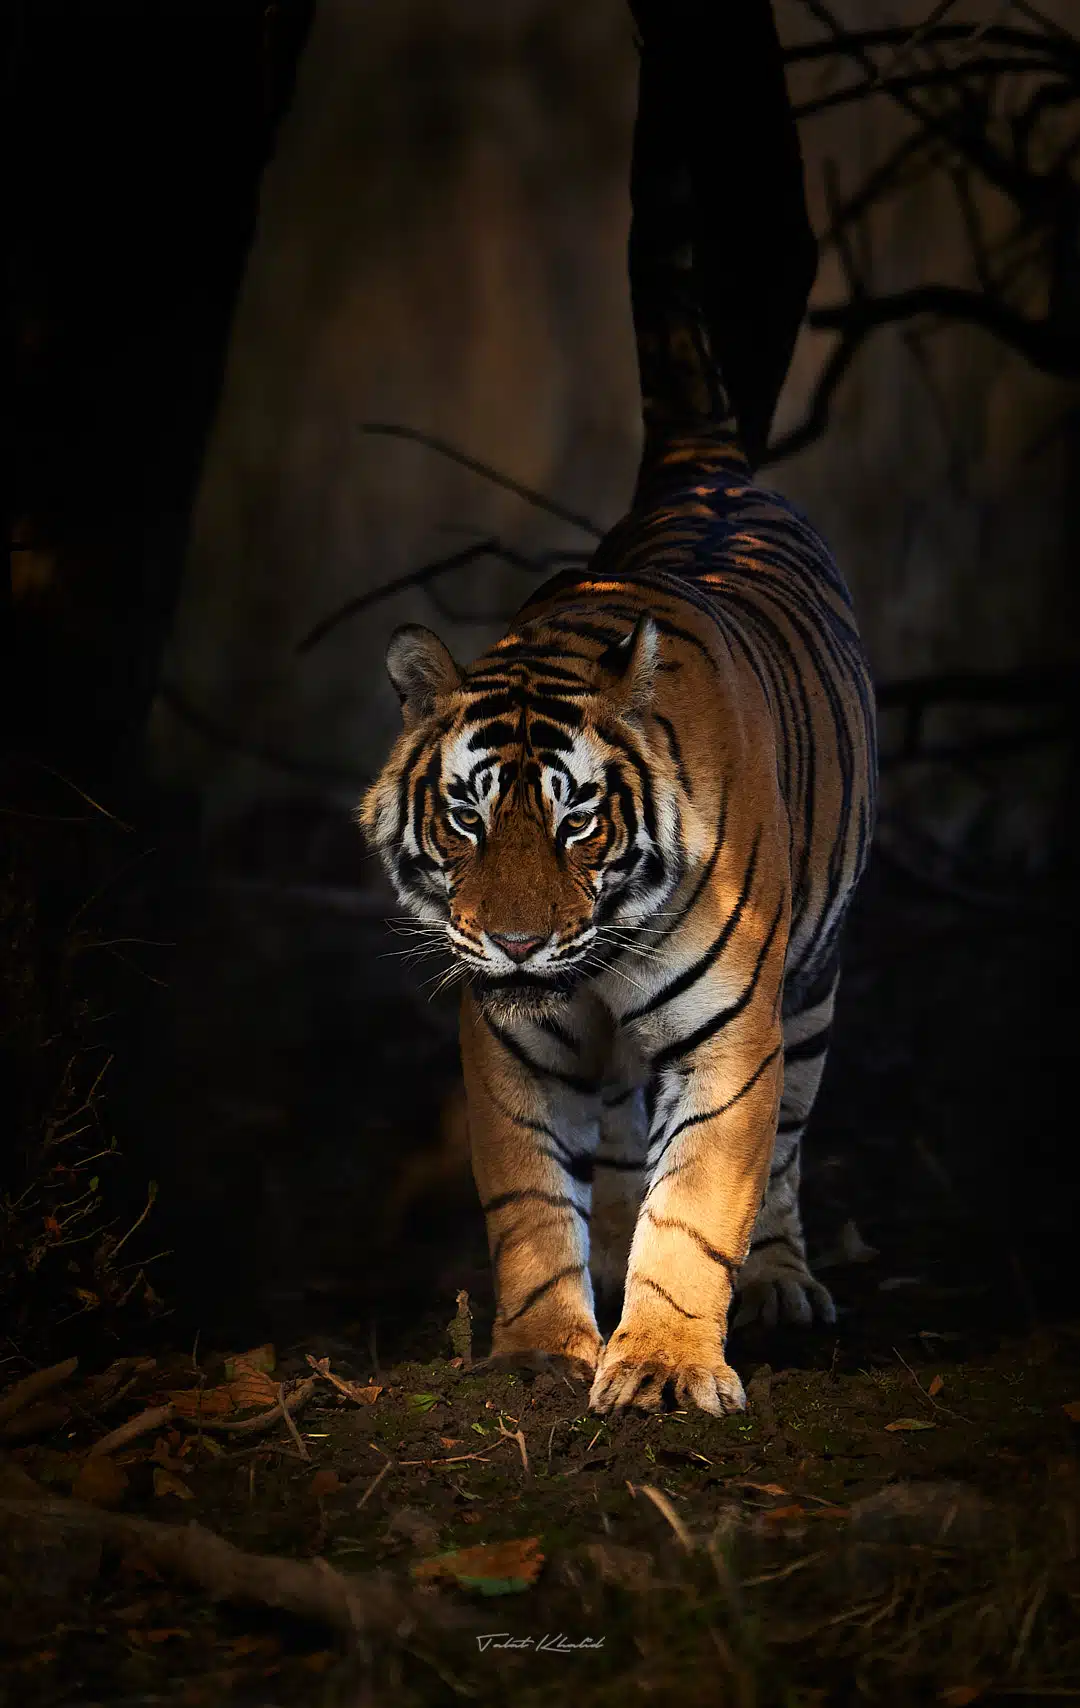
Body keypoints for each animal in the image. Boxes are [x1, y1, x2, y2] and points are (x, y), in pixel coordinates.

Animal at [359, 0, 876, 1417]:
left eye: (580, 820)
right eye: (468, 819)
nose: (521, 943)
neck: (591, 964)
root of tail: (703, 466)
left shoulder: (732, 1035)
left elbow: (700, 1200)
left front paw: (658, 1362)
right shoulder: (512, 1039)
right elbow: (533, 1198)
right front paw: (549, 1344)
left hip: (813, 978)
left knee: (789, 1139)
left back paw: (777, 1285)